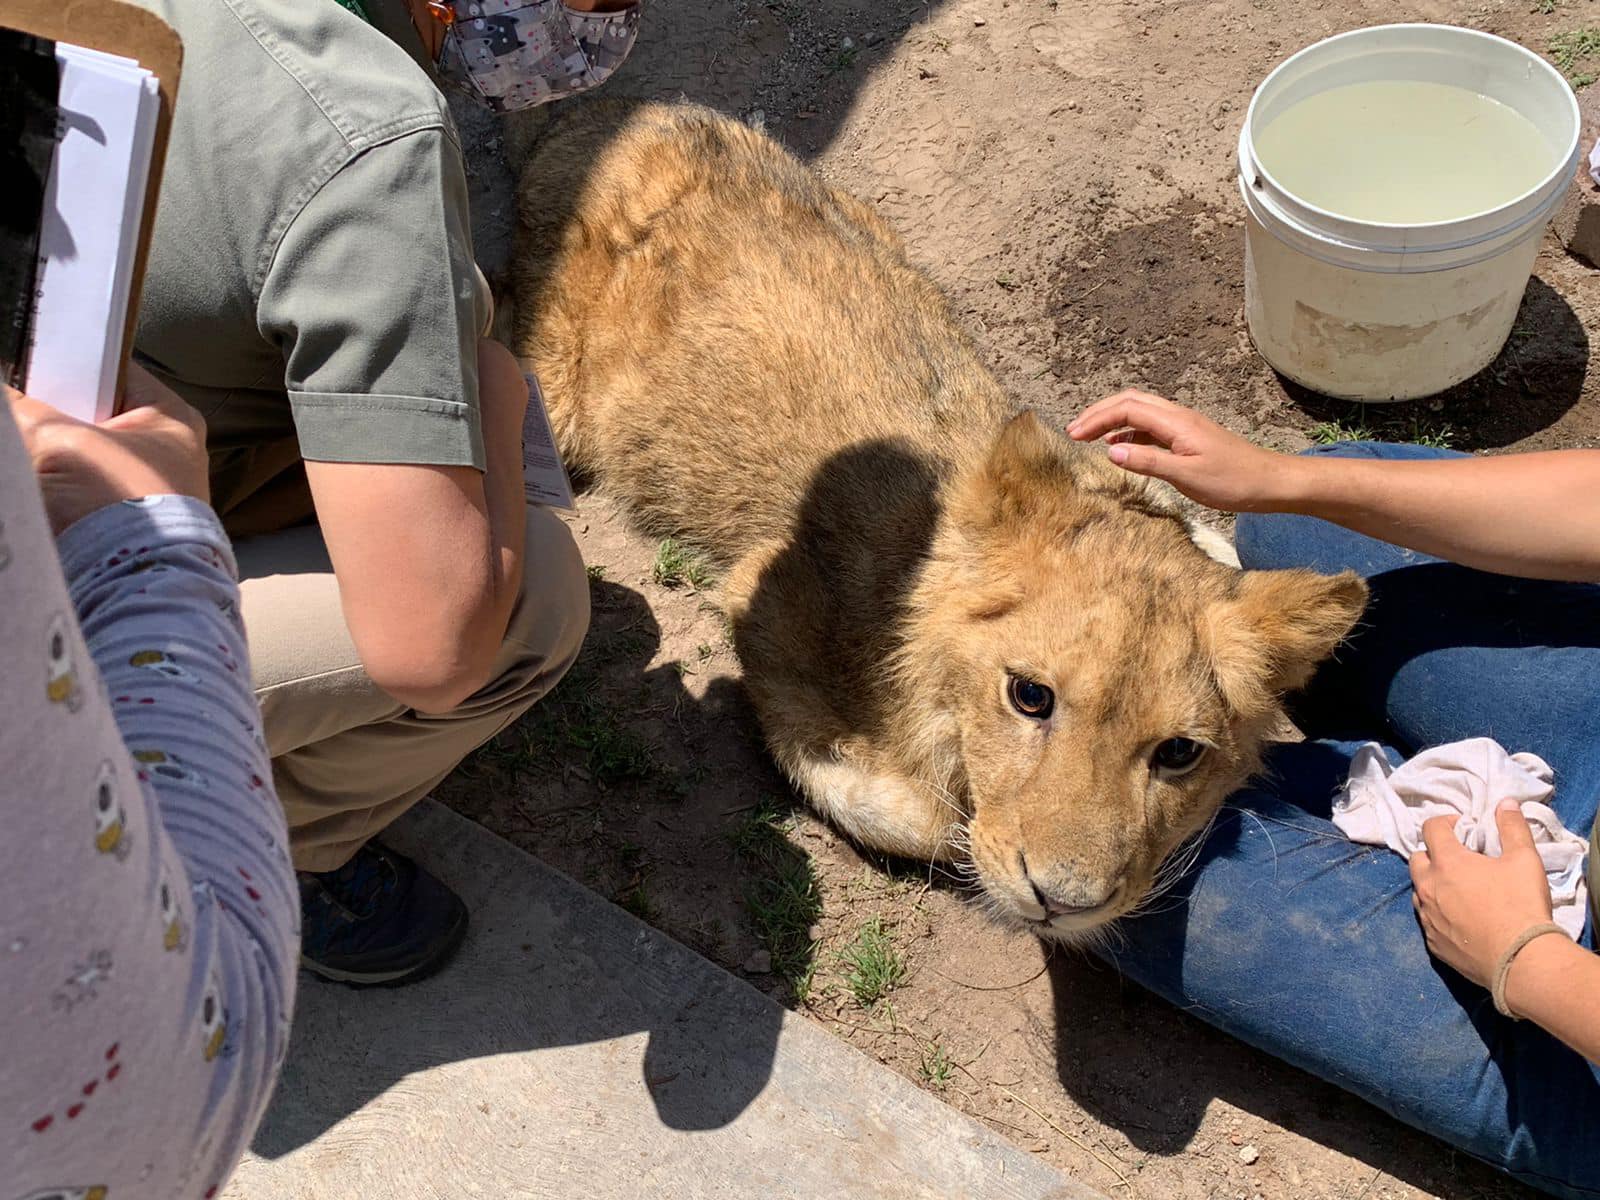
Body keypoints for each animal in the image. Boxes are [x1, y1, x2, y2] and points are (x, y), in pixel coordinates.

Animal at [509, 102, 1366, 938]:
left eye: (1180, 753)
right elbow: (916, 816)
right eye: (1030, 697)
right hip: (551, 402)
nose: (1063, 901)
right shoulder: (764, 600)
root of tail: (623, 114)